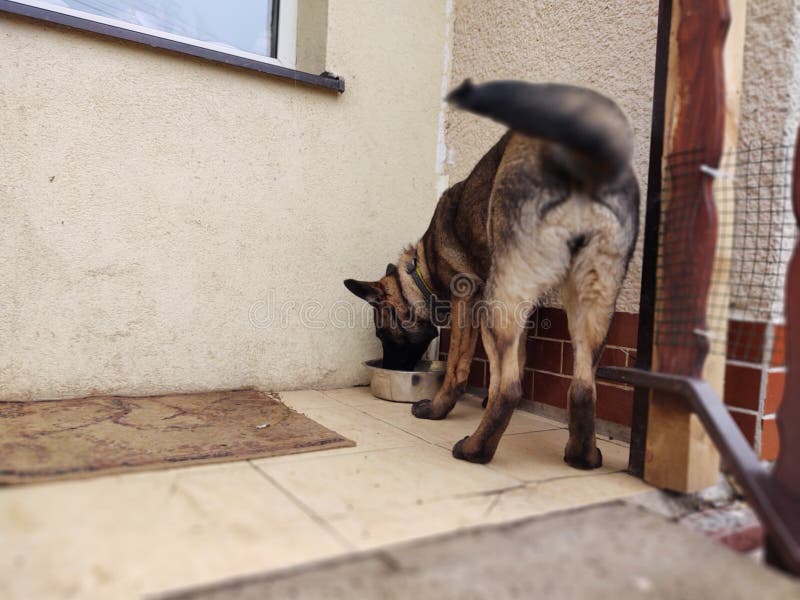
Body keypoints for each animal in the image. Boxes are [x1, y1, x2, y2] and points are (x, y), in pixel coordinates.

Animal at [344, 79, 636, 466]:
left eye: (382, 333)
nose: (390, 368)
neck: (423, 267)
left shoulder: (467, 299)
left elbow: (457, 367)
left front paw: (437, 408)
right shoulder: (525, 309)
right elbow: (521, 355)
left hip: (496, 306)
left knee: (509, 387)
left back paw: (475, 449)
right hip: (592, 299)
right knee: (582, 386)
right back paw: (582, 455)